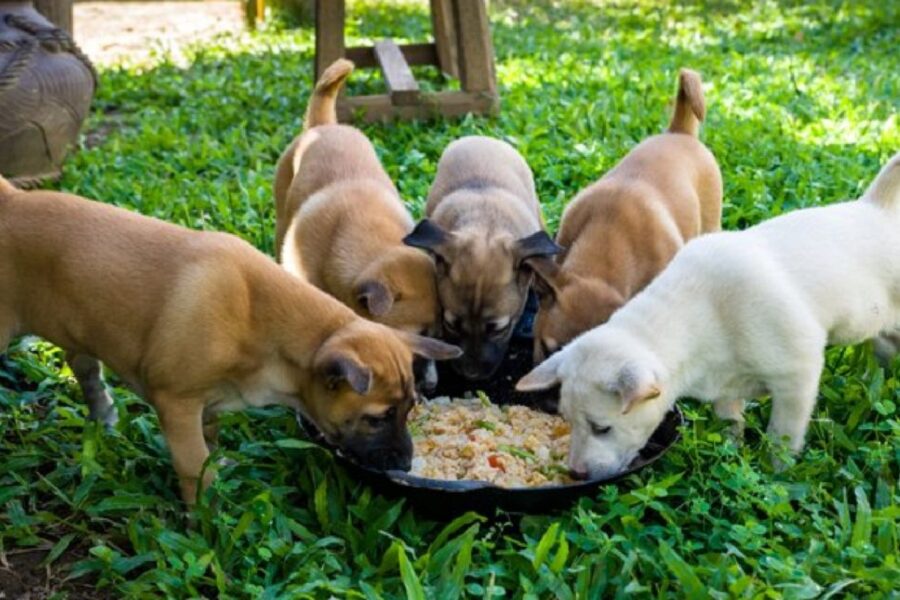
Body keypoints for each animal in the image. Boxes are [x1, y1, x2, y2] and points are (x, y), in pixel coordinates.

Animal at [0, 177, 460, 502]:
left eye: (411, 409)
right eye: (377, 418)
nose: (405, 464)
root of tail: (11, 200)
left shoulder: (209, 403)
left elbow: (212, 439)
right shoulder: (177, 404)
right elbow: (193, 464)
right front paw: (206, 523)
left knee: (85, 369)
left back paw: (103, 414)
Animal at [516, 154, 900, 478]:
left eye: (601, 428)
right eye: (566, 420)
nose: (576, 474)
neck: (700, 315)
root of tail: (876, 209)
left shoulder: (797, 377)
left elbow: (782, 438)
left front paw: (774, 475)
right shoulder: (726, 389)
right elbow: (731, 425)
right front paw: (730, 458)